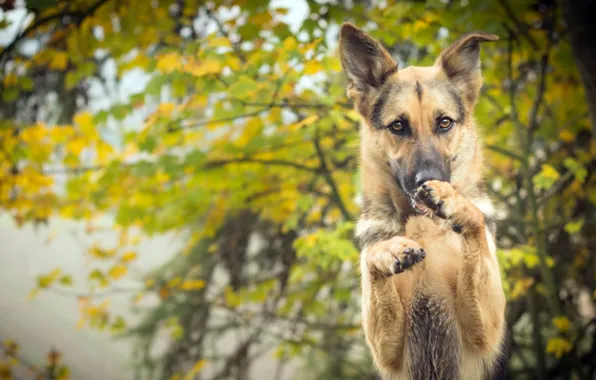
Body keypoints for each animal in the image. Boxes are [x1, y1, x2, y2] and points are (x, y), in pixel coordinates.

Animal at [340, 23, 508, 380]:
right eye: (398, 126)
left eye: (444, 122)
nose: (425, 181)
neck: (425, 228)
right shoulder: (387, 348)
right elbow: (373, 257)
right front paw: (389, 250)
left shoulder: (484, 328)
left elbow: (475, 224)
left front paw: (454, 201)